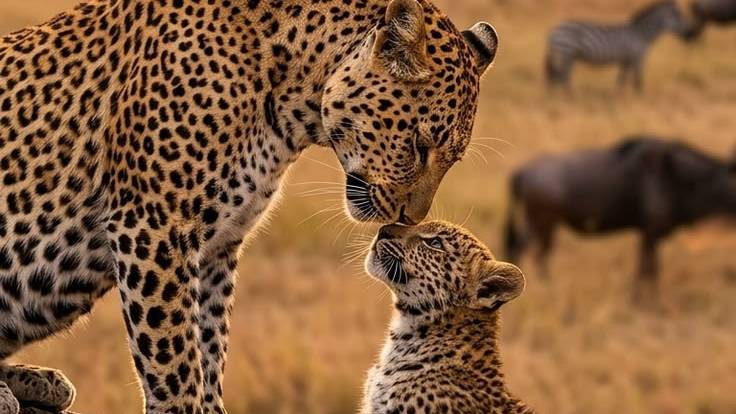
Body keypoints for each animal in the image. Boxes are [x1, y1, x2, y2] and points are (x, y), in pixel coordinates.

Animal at [0, 0, 499, 412]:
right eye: (420, 145)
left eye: (452, 159)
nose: (408, 219)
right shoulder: (153, 226)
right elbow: (172, 358)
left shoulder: (217, 245)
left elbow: (208, 344)